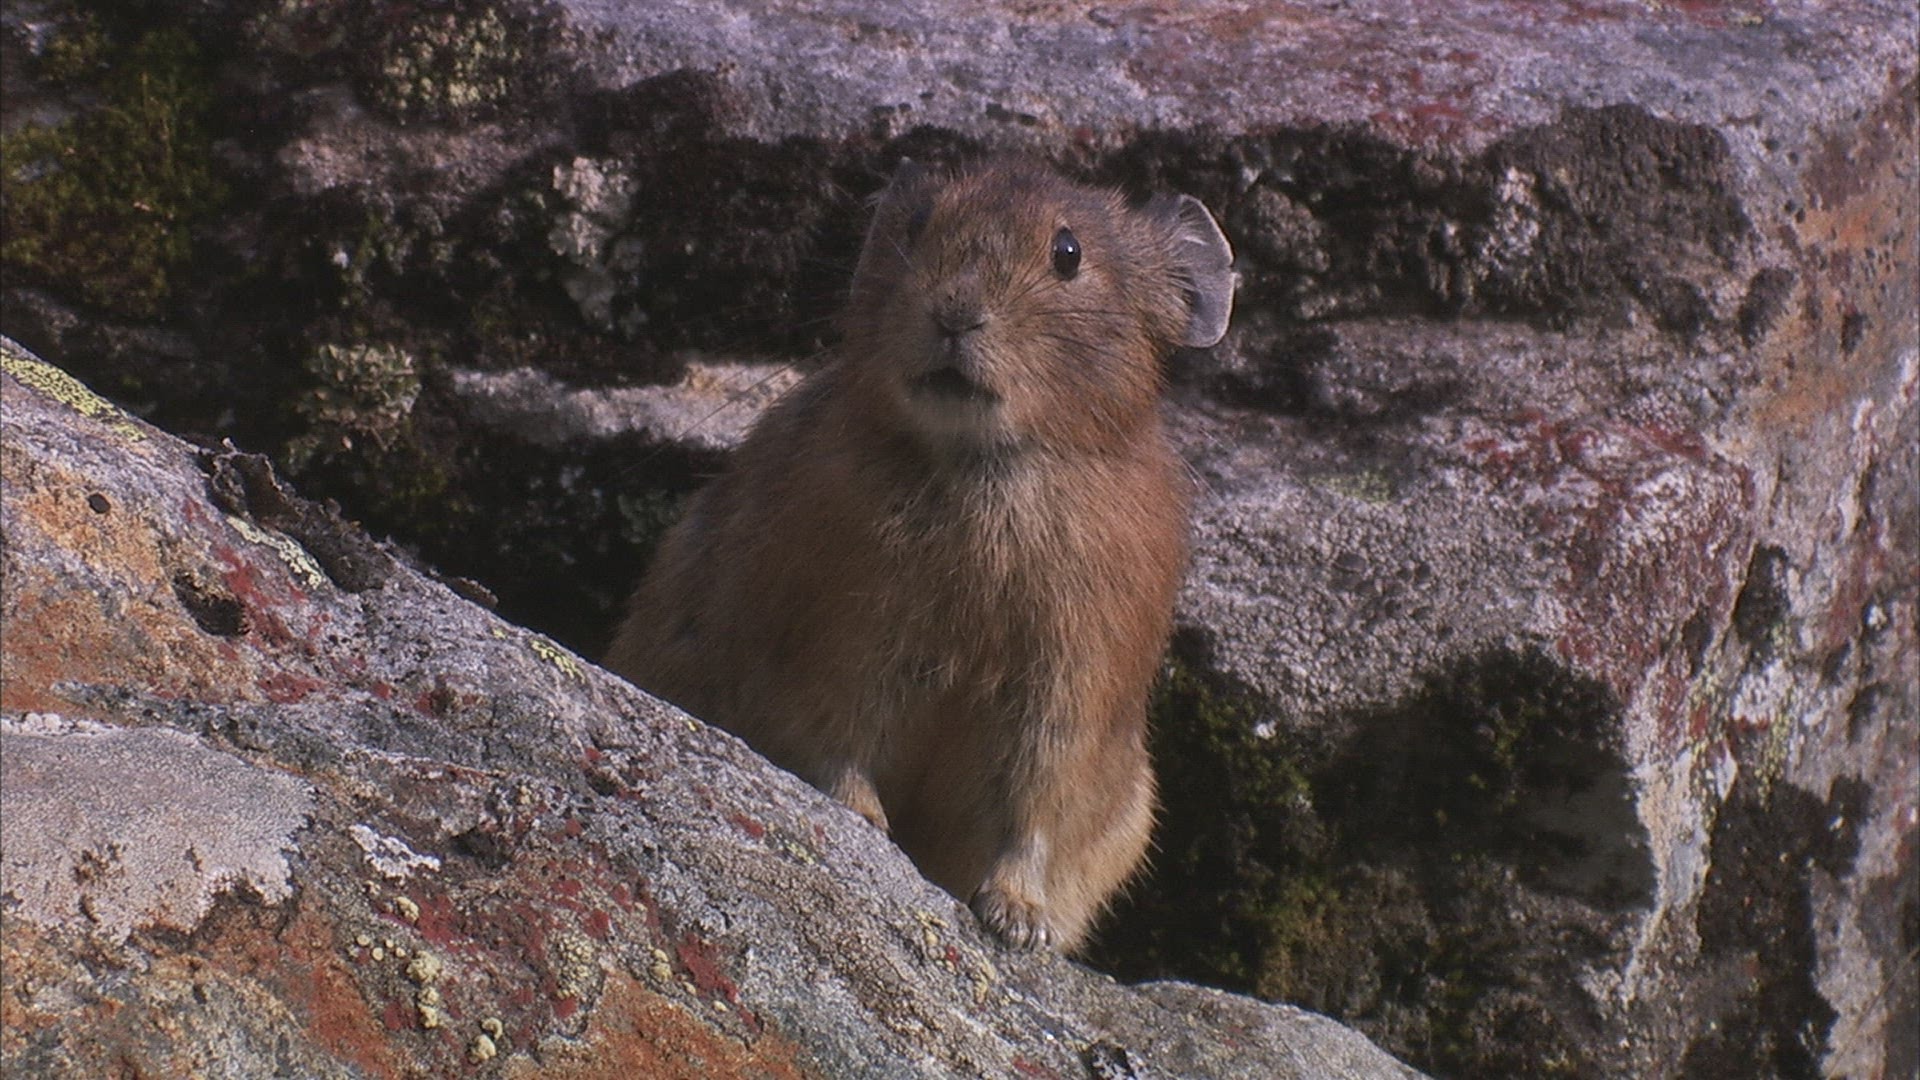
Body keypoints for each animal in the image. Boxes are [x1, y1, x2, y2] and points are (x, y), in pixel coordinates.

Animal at [606, 158, 1234, 951]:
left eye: (1068, 253)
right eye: (917, 223)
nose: (954, 313)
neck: (981, 478)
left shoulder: (1072, 685)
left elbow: (1039, 803)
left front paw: (1019, 918)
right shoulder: (833, 640)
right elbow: (834, 738)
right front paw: (864, 819)